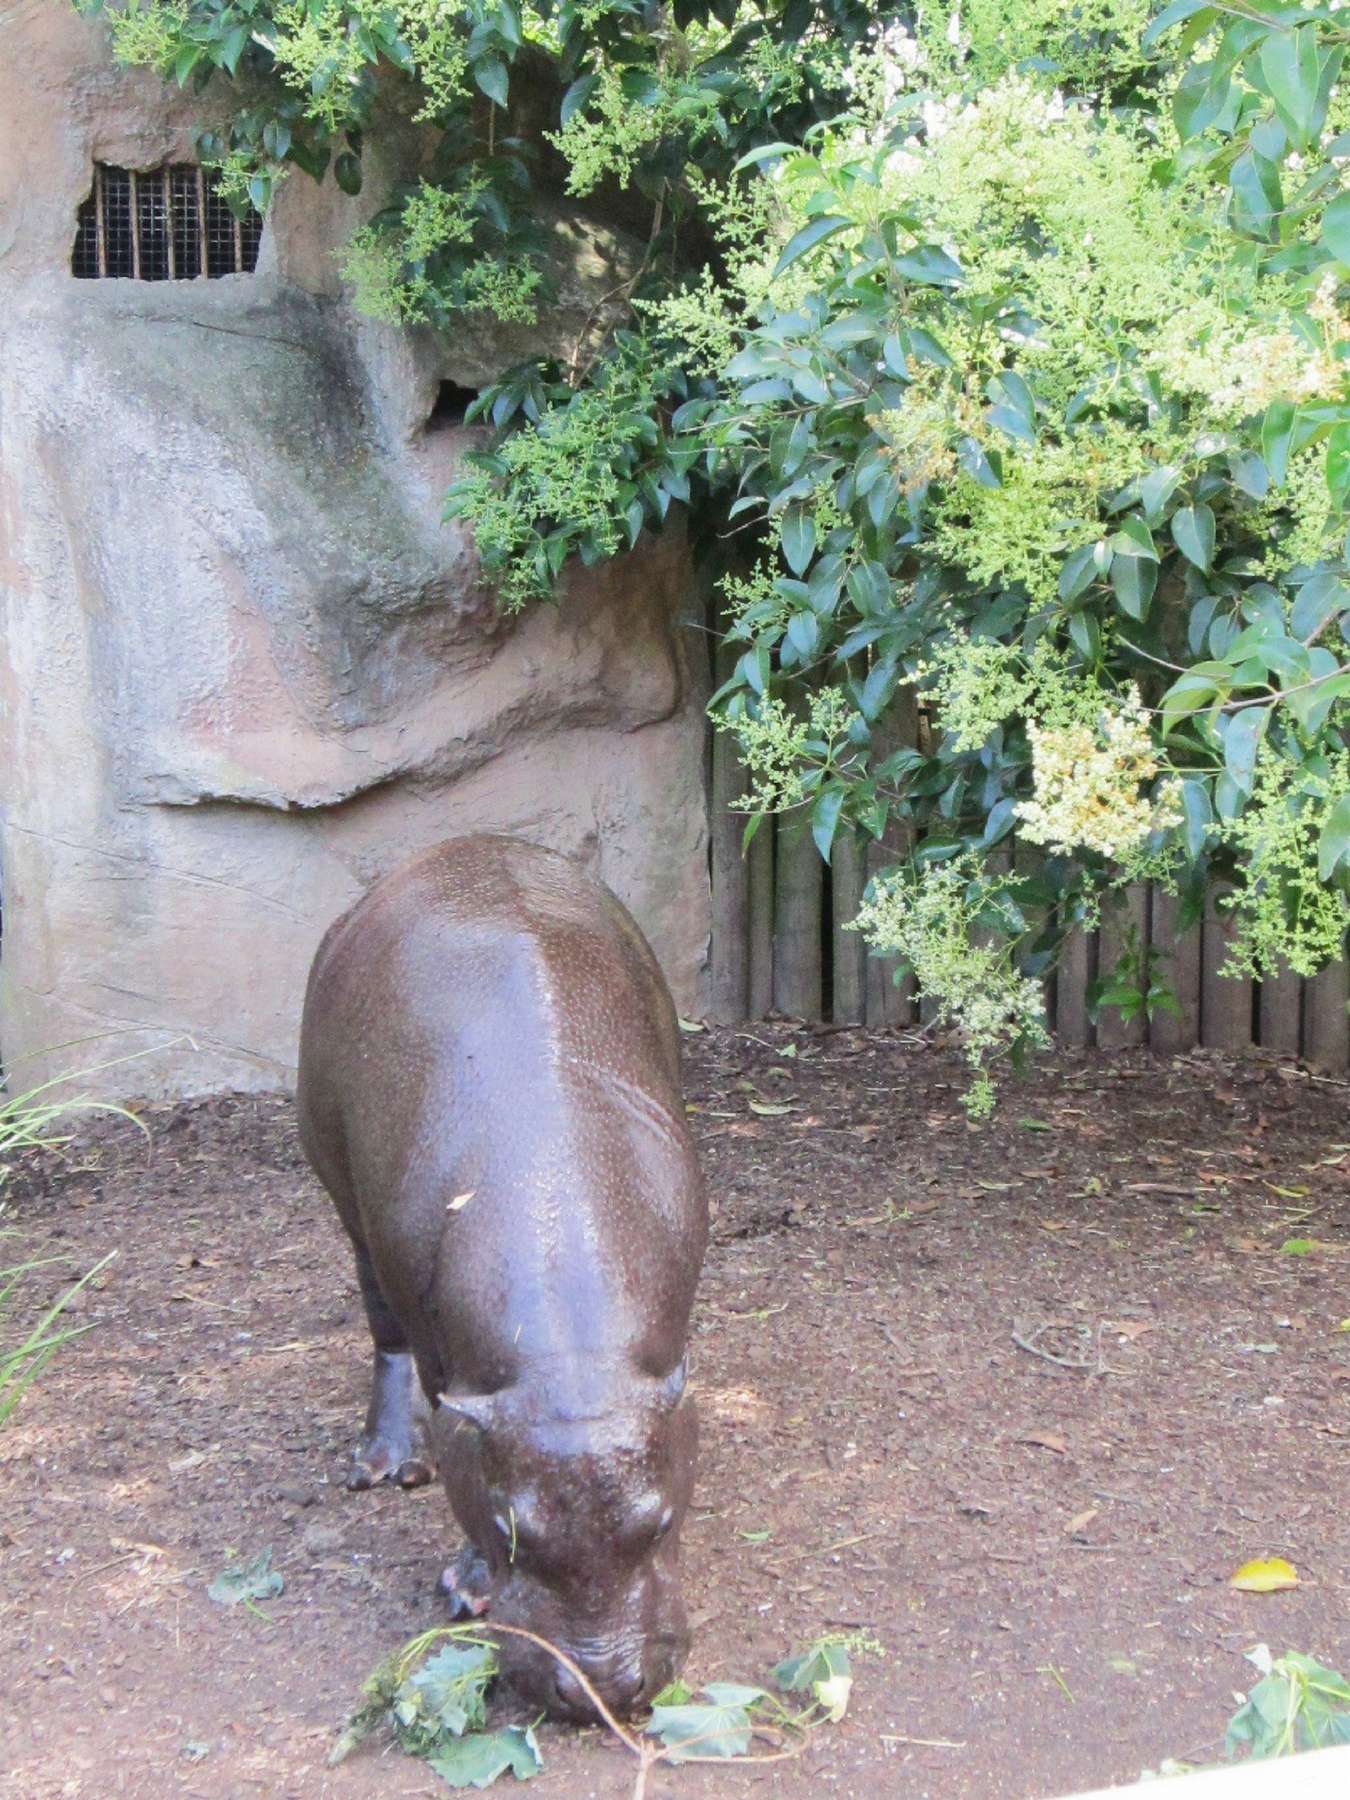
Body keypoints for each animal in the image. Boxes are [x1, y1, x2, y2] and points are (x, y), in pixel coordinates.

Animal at [295, 835, 709, 1720]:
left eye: (659, 1524)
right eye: (509, 1528)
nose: (600, 1691)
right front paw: (463, 1584)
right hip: (345, 1199)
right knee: (382, 1329)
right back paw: (386, 1465)